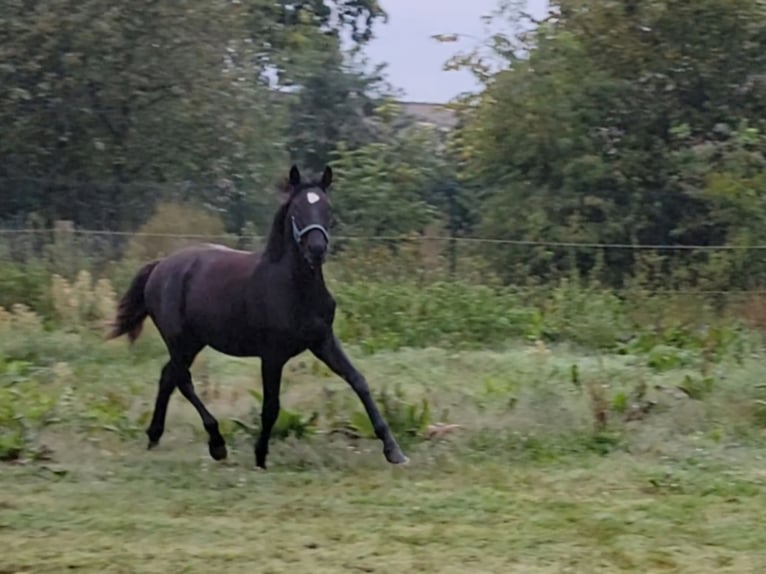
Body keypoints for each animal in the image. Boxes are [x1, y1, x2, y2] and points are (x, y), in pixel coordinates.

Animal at [109, 165, 412, 468]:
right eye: (296, 209)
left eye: (327, 208)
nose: (316, 250)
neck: (295, 289)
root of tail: (160, 265)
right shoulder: (272, 355)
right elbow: (271, 406)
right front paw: (260, 455)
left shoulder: (323, 341)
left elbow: (359, 381)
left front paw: (394, 450)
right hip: (179, 340)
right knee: (183, 380)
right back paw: (216, 443)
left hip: (193, 343)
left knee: (168, 376)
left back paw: (154, 436)